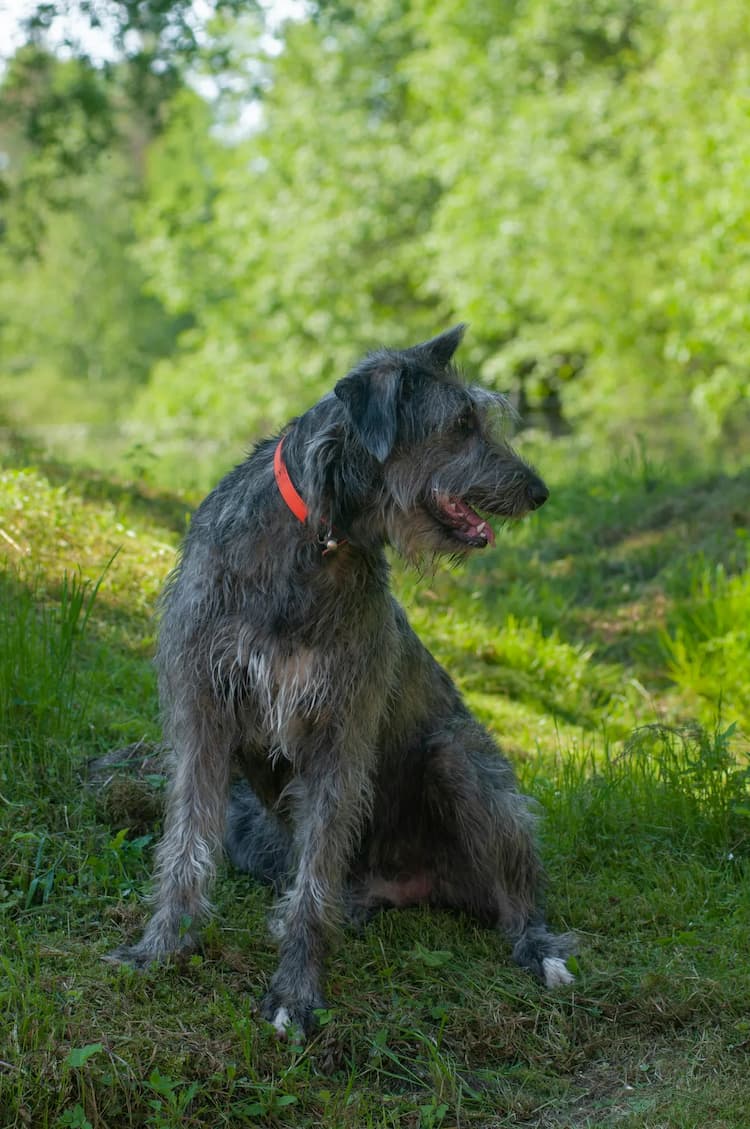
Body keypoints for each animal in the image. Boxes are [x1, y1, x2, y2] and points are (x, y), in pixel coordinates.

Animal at [105, 325, 573, 1034]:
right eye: (461, 424)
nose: (540, 491)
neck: (316, 540)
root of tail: (408, 886)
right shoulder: (203, 715)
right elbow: (185, 844)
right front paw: (162, 947)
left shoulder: (337, 733)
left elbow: (313, 882)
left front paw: (296, 992)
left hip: (460, 760)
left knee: (518, 895)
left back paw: (539, 949)